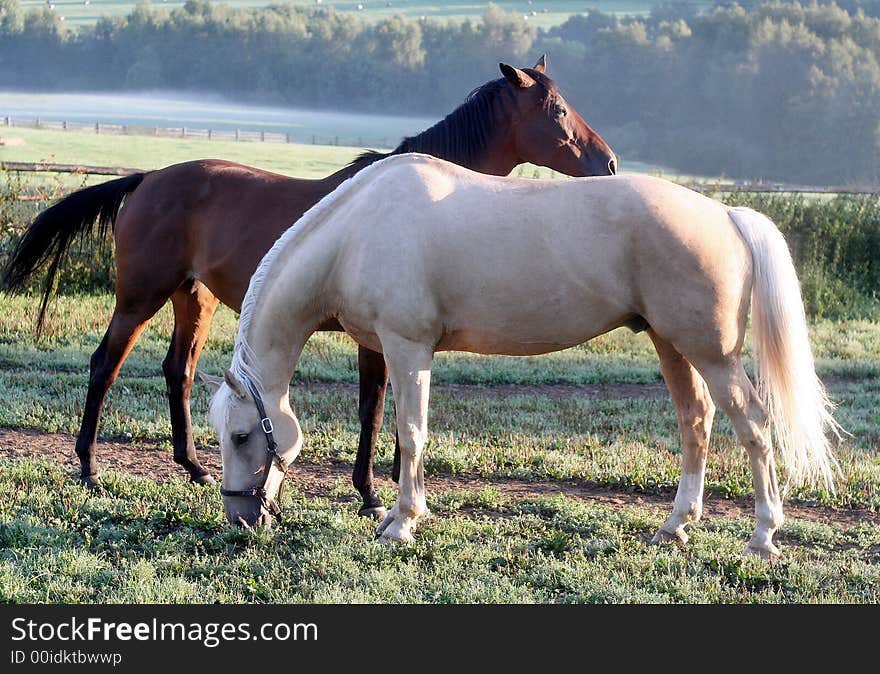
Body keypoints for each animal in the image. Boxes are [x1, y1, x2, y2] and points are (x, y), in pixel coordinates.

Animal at [1, 57, 620, 516]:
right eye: (556, 109)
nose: (610, 163)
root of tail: (149, 178)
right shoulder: (376, 338)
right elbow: (374, 408)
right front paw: (371, 493)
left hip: (193, 299)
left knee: (178, 371)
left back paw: (195, 466)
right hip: (139, 298)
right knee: (105, 365)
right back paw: (88, 468)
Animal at [208, 155, 844, 560]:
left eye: (241, 436)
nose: (241, 519)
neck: (357, 231)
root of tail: (728, 215)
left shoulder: (405, 344)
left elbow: (410, 434)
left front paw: (401, 524)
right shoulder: (411, 352)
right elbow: (413, 434)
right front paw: (407, 513)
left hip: (713, 356)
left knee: (754, 427)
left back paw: (762, 536)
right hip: (672, 346)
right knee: (697, 423)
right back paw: (674, 527)